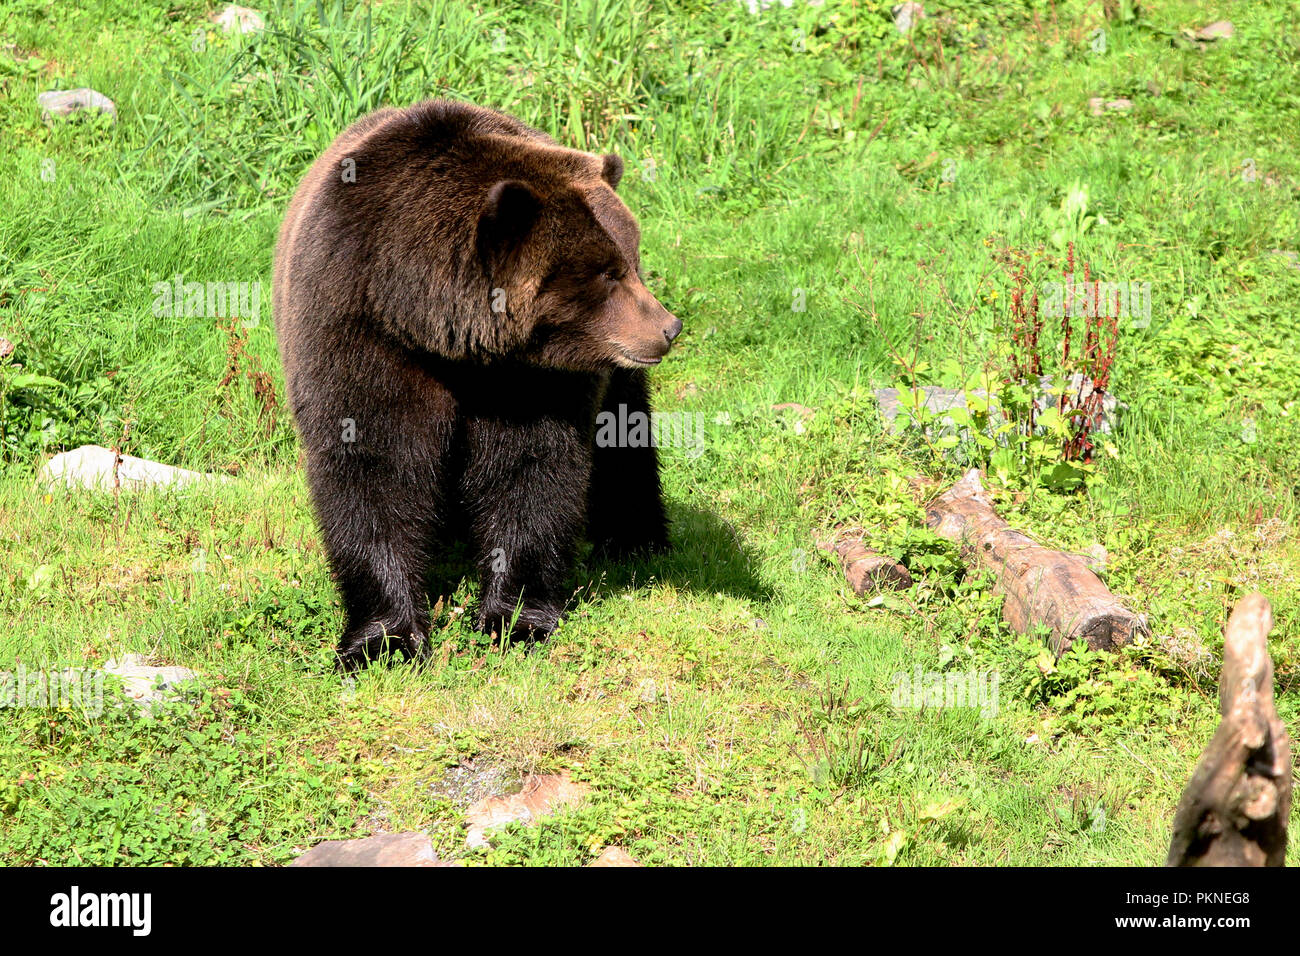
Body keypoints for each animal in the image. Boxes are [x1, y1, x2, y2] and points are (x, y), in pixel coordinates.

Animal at [274, 95, 681, 665]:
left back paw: (635, 538)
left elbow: (531, 466)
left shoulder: (526, 377)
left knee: (626, 436)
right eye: (607, 272)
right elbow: (373, 464)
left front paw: (515, 620)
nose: (668, 328)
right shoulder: (356, 326)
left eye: (633, 260)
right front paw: (383, 639)